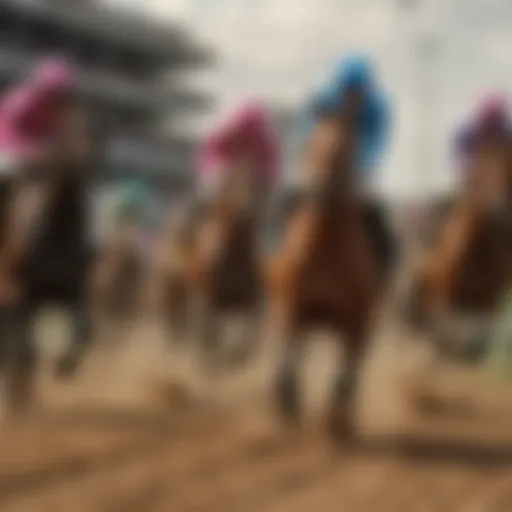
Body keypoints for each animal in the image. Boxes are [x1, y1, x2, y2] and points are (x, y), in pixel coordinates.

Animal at [270, 114, 386, 438]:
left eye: (343, 151)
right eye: (311, 144)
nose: (318, 191)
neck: (324, 246)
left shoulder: (357, 320)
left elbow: (345, 373)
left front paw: (333, 419)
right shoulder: (292, 305)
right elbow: (287, 358)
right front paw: (287, 404)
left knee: (352, 368)